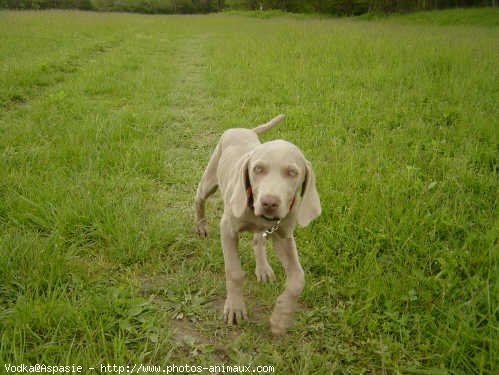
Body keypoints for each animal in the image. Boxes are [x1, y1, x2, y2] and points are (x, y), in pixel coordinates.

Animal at [193, 114, 322, 334]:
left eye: (292, 173)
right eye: (258, 169)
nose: (269, 202)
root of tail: (243, 129)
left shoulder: (283, 236)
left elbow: (298, 279)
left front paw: (281, 317)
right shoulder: (227, 229)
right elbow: (234, 272)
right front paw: (235, 308)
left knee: (257, 241)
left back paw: (263, 269)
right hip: (210, 178)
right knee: (199, 197)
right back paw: (201, 225)